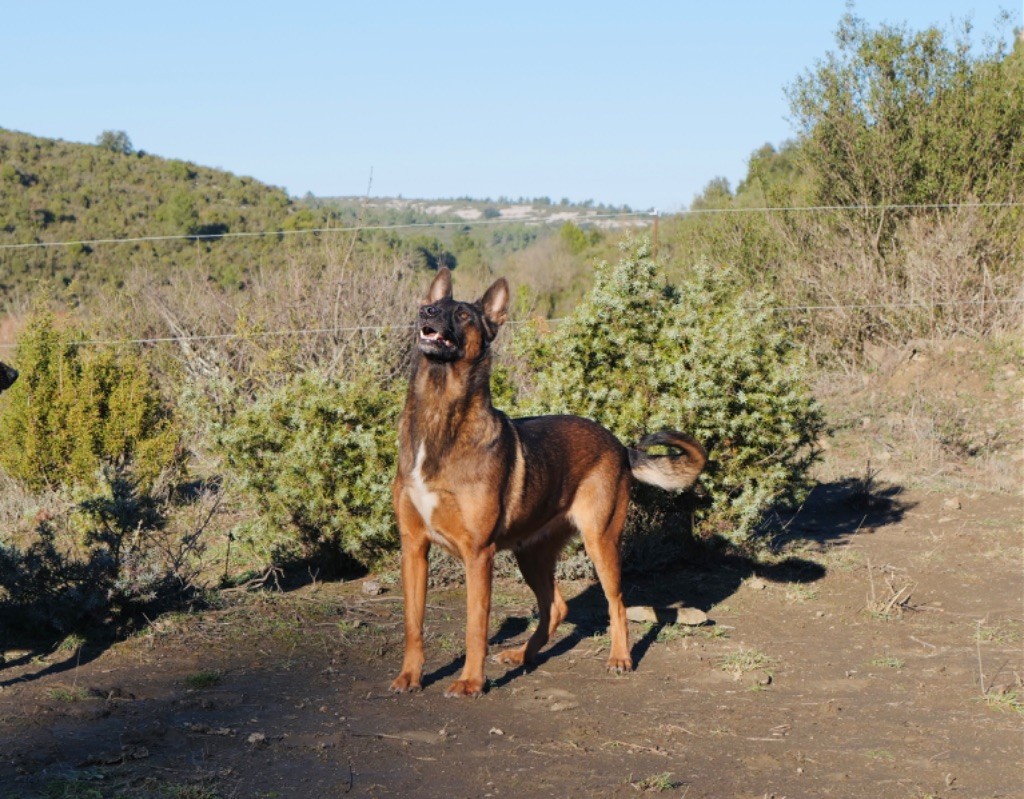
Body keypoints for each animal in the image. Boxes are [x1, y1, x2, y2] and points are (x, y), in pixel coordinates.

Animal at [387, 272, 708, 696]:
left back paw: (620, 658)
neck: (439, 413)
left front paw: (471, 681)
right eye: (435, 306)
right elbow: (414, 624)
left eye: (462, 314)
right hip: (532, 555)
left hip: (600, 541)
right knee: (557, 606)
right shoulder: (414, 548)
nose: (426, 311)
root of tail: (620, 446)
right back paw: (522, 655)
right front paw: (410, 675)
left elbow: (475, 627)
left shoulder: (478, 554)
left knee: (617, 602)